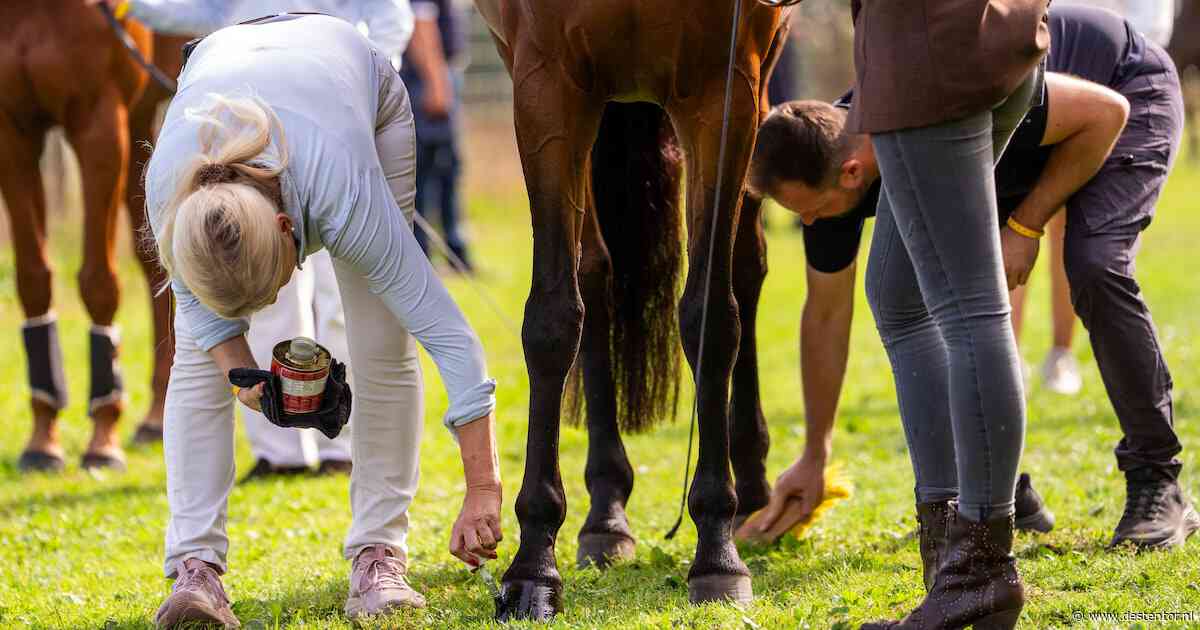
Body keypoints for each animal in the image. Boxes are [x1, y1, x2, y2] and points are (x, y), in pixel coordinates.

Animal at [0, 1, 176, 469]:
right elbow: (33, 279)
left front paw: (102, 436)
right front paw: (43, 439)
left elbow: (99, 282)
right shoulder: (13, 134)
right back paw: (156, 416)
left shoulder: (99, 123)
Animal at [475, 0, 790, 620]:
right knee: (595, 274)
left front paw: (717, 555)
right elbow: (552, 320)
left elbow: (712, 315)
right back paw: (605, 512)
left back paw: (751, 488)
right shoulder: (546, 82)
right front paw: (533, 567)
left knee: (744, 265)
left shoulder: (724, 85)